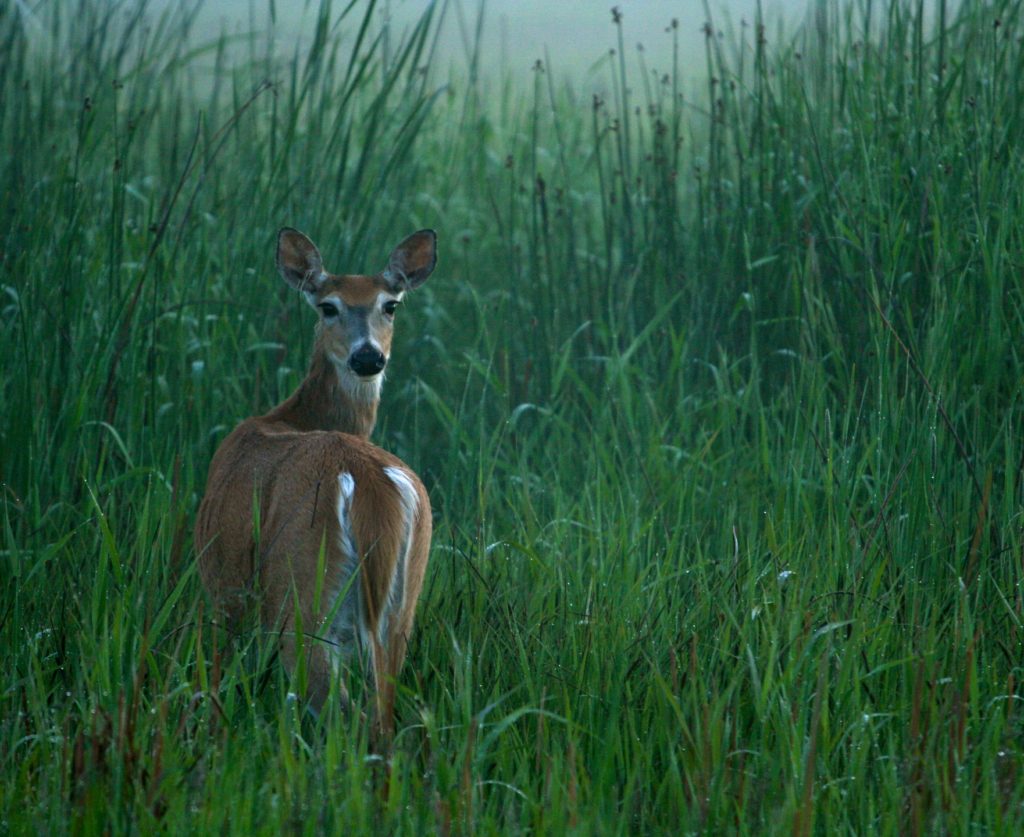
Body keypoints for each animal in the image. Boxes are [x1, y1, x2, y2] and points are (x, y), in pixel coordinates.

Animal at [194, 225, 436, 741]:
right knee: (382, 715)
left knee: (342, 709)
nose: (368, 356)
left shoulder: (225, 588)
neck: (290, 416)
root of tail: (368, 485)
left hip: (301, 587)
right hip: (402, 606)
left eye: (391, 304)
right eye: (329, 306)